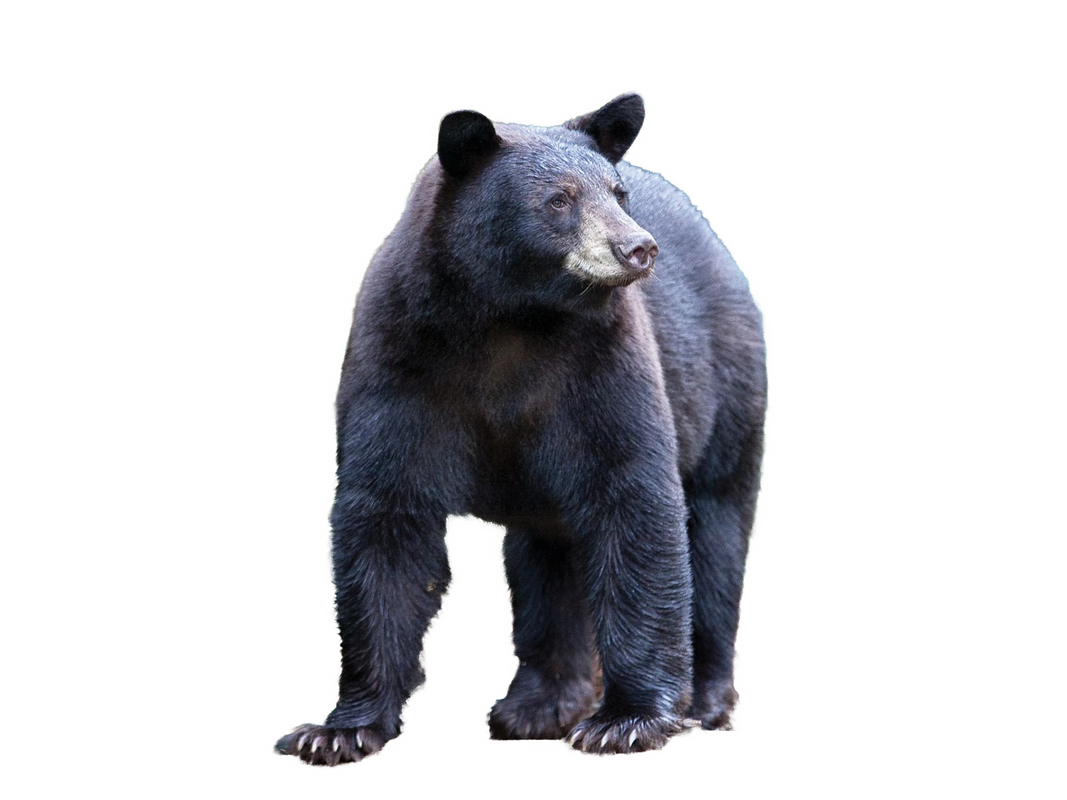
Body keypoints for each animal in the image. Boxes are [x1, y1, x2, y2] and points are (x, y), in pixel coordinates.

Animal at [272, 90, 769, 766]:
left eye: (617, 194)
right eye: (558, 199)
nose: (638, 248)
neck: (510, 317)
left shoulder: (603, 366)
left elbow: (632, 501)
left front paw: (628, 720)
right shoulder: (399, 362)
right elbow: (386, 517)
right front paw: (337, 729)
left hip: (727, 389)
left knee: (714, 531)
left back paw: (705, 700)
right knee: (547, 561)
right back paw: (539, 704)